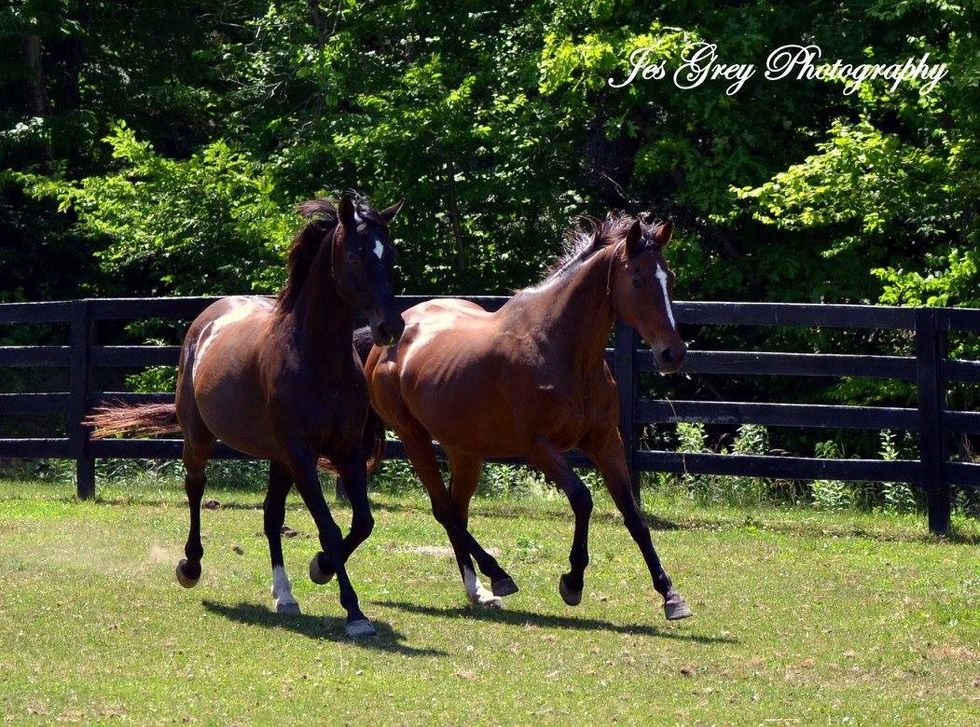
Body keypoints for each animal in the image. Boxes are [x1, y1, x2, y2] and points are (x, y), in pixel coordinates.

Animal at [86, 192, 404, 636]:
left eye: (389, 254)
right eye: (356, 256)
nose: (391, 327)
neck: (316, 358)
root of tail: (206, 320)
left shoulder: (345, 451)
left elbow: (361, 523)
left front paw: (320, 569)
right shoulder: (303, 455)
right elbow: (329, 526)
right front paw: (354, 612)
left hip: (277, 458)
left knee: (271, 516)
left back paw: (284, 595)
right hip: (200, 439)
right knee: (196, 490)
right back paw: (190, 567)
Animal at [364, 215, 692, 620]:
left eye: (670, 278)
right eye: (638, 280)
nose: (672, 354)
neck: (559, 347)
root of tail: (387, 340)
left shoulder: (605, 441)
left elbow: (632, 513)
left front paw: (671, 596)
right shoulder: (540, 448)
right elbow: (582, 499)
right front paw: (572, 582)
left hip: (464, 450)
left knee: (458, 510)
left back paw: (479, 591)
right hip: (414, 438)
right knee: (445, 510)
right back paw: (499, 575)